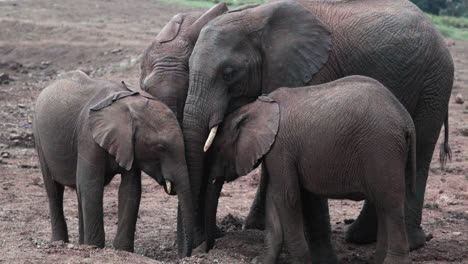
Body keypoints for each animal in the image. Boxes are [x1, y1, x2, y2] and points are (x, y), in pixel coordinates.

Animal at [33, 69, 193, 256]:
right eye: (160, 147)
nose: (187, 255)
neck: (128, 104)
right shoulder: (88, 136)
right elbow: (91, 185)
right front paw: (95, 247)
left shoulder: (129, 146)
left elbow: (130, 189)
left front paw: (123, 250)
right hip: (39, 138)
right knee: (54, 190)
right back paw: (60, 242)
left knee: (78, 191)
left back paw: (81, 243)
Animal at [205, 76, 414, 264]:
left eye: (217, 148)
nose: (207, 249)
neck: (256, 107)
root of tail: (406, 120)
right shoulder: (275, 153)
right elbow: (274, 198)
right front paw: (261, 261)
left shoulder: (281, 148)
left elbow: (287, 197)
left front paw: (301, 261)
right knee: (382, 205)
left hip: (382, 148)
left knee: (391, 204)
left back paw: (393, 261)